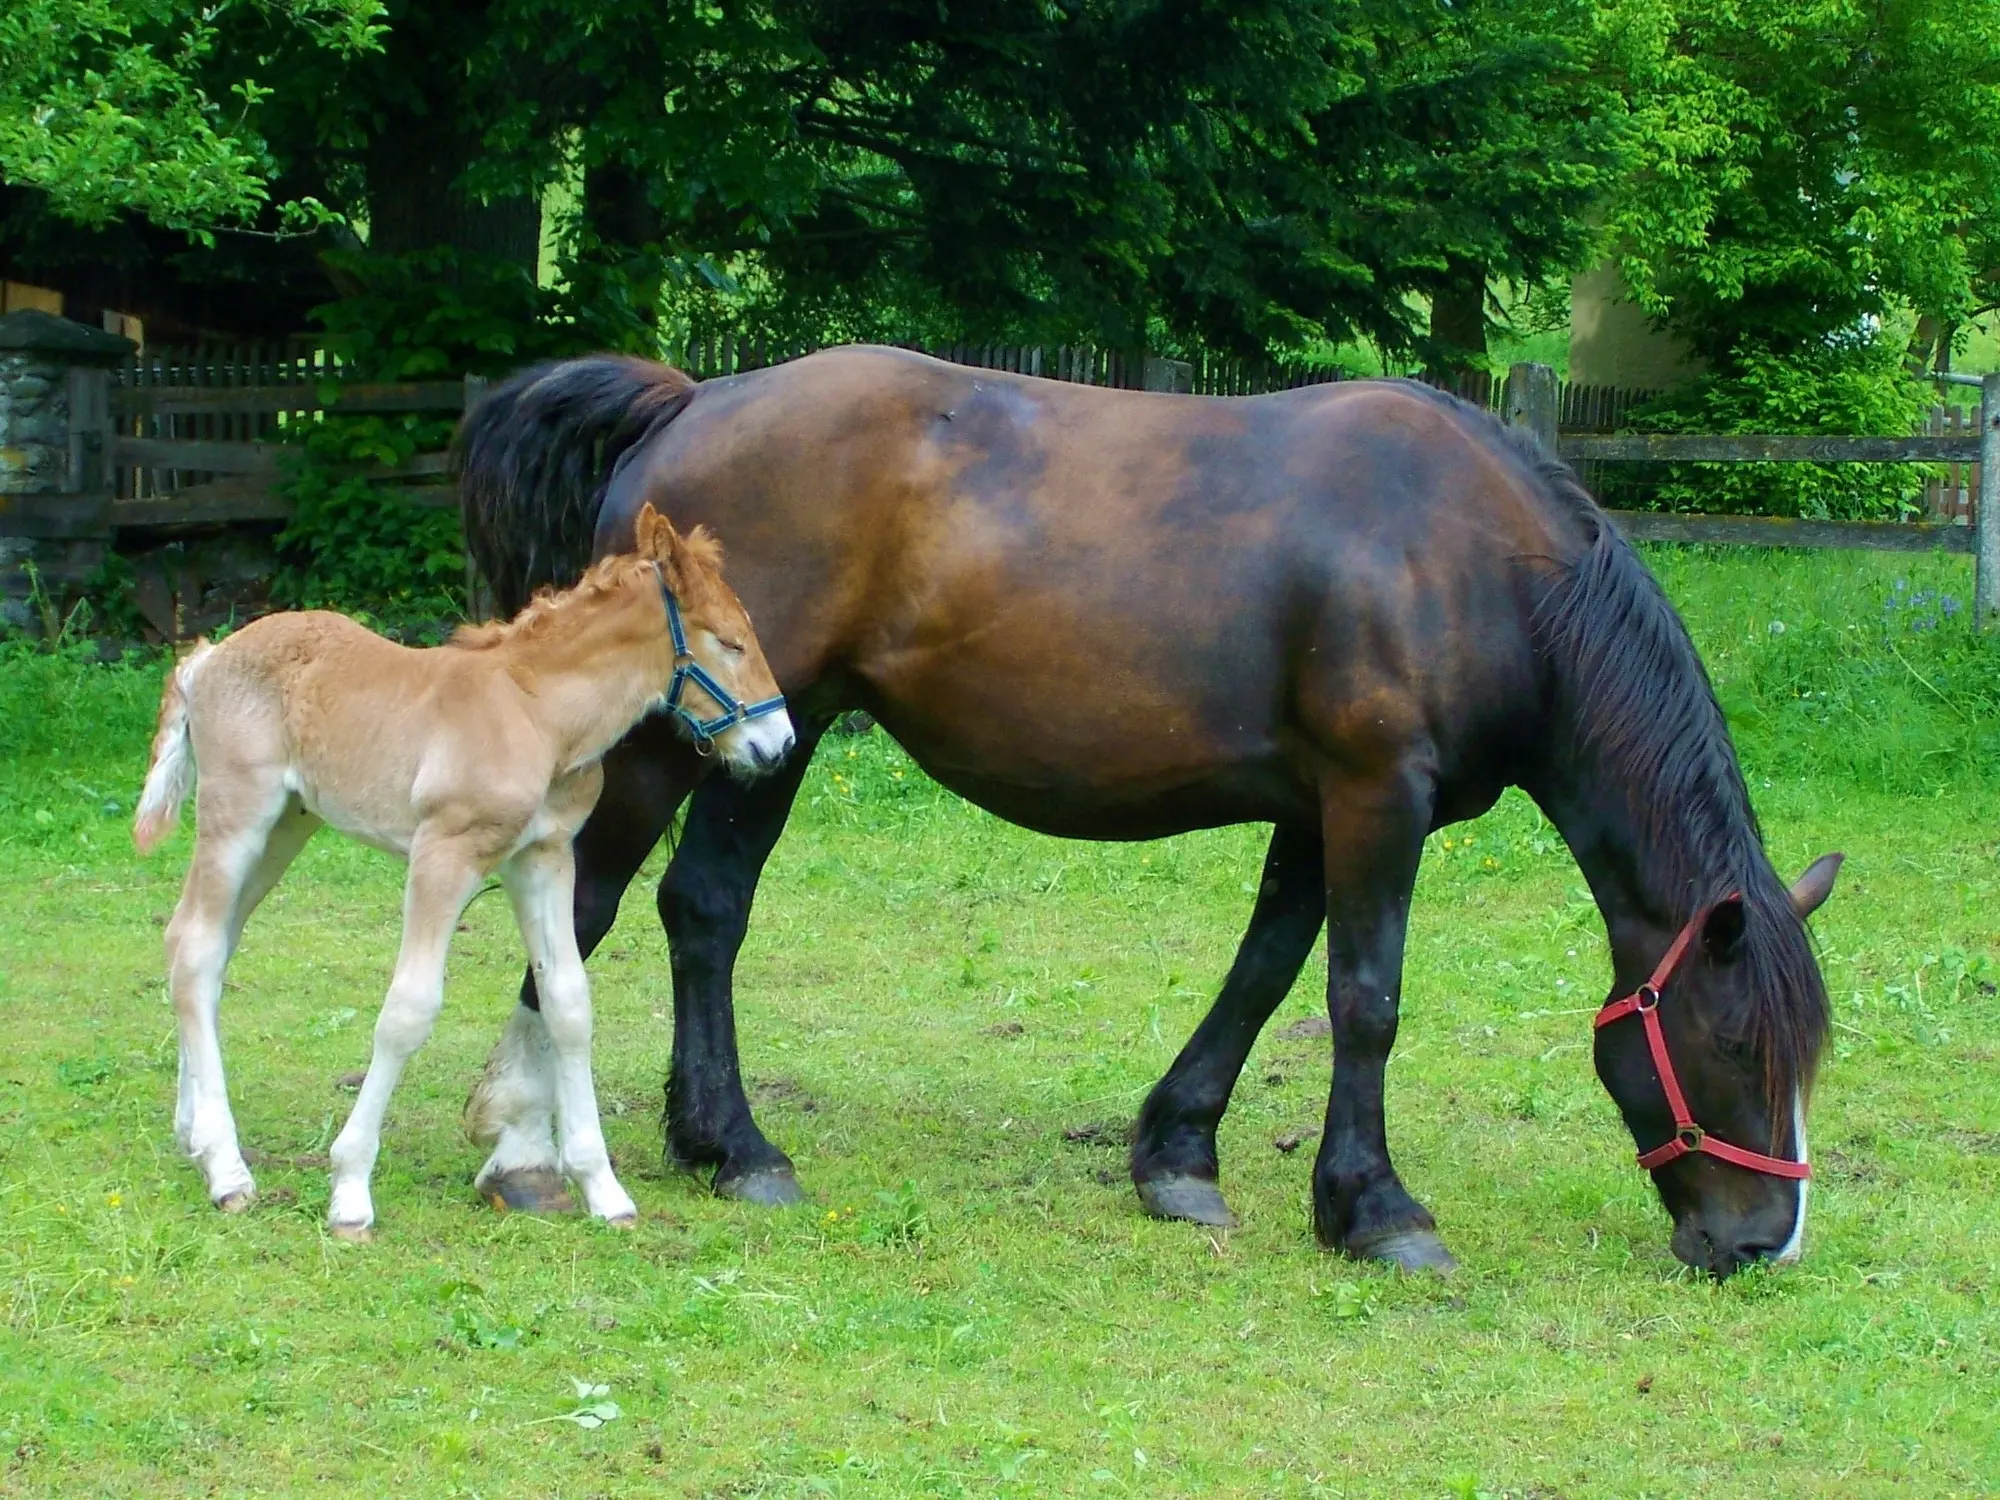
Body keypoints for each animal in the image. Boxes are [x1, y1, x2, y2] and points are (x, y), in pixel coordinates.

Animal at [127, 508, 788, 1248]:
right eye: (730, 642)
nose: (780, 743)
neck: (535, 712)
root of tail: (205, 658)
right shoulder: (443, 853)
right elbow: (409, 1009)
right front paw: (350, 1192)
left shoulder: (544, 857)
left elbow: (568, 1003)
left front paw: (602, 1188)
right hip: (238, 813)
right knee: (196, 947)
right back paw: (225, 1169)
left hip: (286, 827)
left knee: (203, 947)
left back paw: (194, 1135)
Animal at [458, 352, 1840, 1280]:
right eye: (1731, 1045)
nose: (1761, 1241)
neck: (1478, 563)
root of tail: (691, 402)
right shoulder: (1375, 794)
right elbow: (1364, 1000)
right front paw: (1376, 1210)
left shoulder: (1318, 811)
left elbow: (1265, 972)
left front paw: (1177, 1157)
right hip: (674, 746)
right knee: (583, 907)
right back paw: (533, 1150)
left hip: (768, 744)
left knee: (702, 910)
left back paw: (729, 1147)